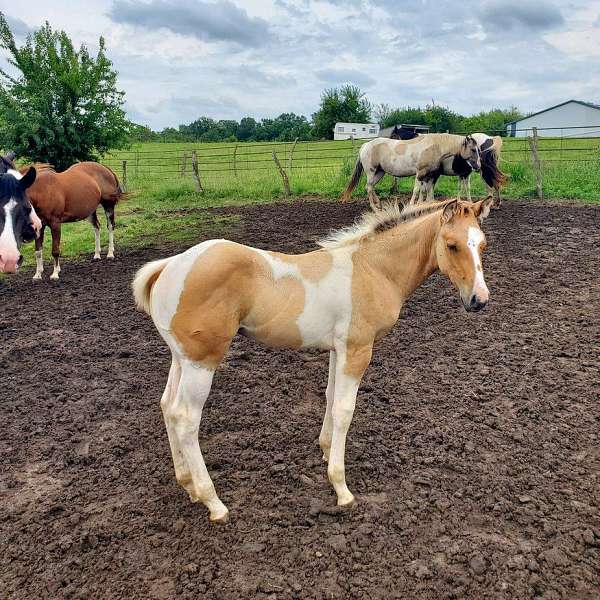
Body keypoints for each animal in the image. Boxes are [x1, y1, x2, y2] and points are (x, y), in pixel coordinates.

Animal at [132, 198, 492, 524]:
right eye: (452, 245)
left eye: (482, 244)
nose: (479, 300)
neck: (373, 269)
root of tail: (170, 266)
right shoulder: (358, 349)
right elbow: (345, 411)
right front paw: (342, 489)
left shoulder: (338, 349)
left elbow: (331, 399)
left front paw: (324, 449)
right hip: (202, 362)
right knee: (186, 418)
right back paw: (214, 503)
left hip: (181, 358)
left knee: (168, 407)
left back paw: (189, 486)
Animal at [340, 135, 480, 210]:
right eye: (473, 150)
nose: (478, 167)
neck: (434, 147)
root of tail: (366, 145)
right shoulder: (420, 174)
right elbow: (417, 190)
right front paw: (413, 204)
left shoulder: (428, 175)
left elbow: (425, 190)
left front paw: (425, 204)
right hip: (371, 171)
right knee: (368, 187)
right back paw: (375, 208)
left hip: (380, 172)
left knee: (371, 187)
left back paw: (379, 205)